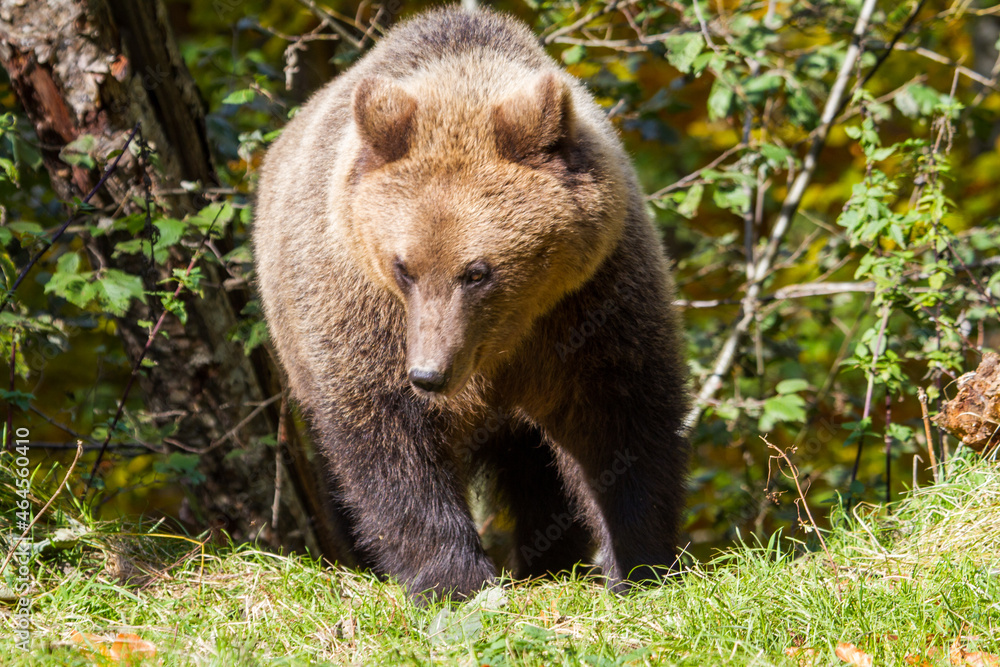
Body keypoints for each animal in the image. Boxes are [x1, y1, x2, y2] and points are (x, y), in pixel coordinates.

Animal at [252, 3, 688, 600]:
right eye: (404, 266)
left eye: (477, 271)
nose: (429, 373)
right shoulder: (362, 311)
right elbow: (389, 441)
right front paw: (454, 577)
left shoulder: (591, 302)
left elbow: (619, 421)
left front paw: (640, 563)